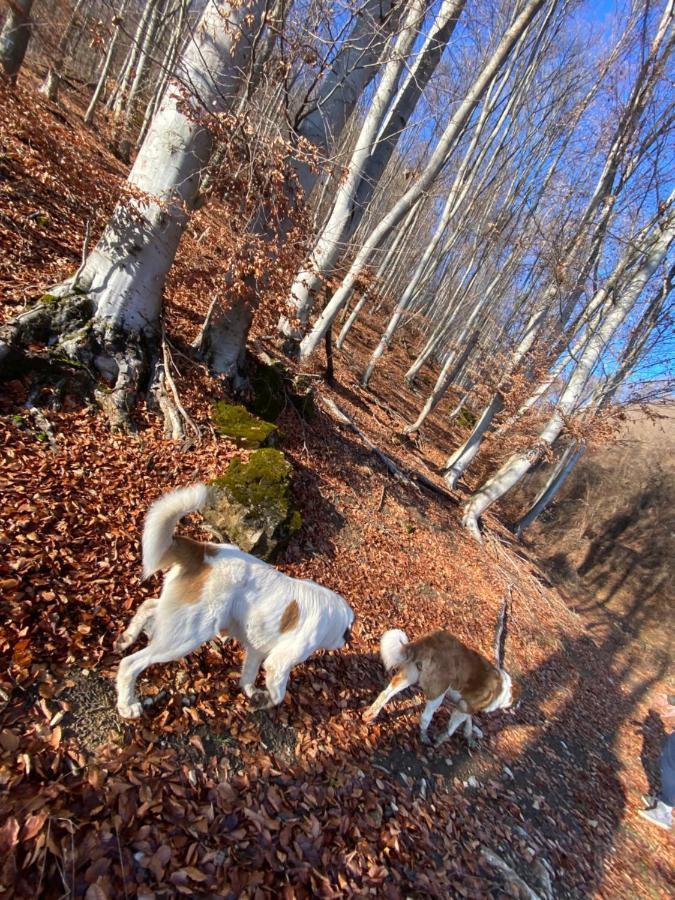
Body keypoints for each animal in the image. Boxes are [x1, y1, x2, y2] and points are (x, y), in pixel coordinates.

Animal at [117, 486, 356, 716]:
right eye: (347, 630)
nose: (347, 640)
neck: (330, 615)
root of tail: (203, 550)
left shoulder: (256, 652)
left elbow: (249, 675)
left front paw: (252, 693)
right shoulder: (279, 663)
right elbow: (278, 693)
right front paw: (264, 700)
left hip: (180, 614)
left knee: (149, 605)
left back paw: (126, 638)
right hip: (187, 636)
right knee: (130, 664)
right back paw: (128, 705)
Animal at [364, 624, 516, 744]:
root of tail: (431, 640)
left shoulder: (465, 705)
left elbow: (469, 720)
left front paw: (468, 735)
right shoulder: (464, 708)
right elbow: (451, 729)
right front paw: (441, 740)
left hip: (408, 677)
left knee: (385, 693)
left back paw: (370, 715)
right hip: (437, 695)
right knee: (425, 718)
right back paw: (424, 738)